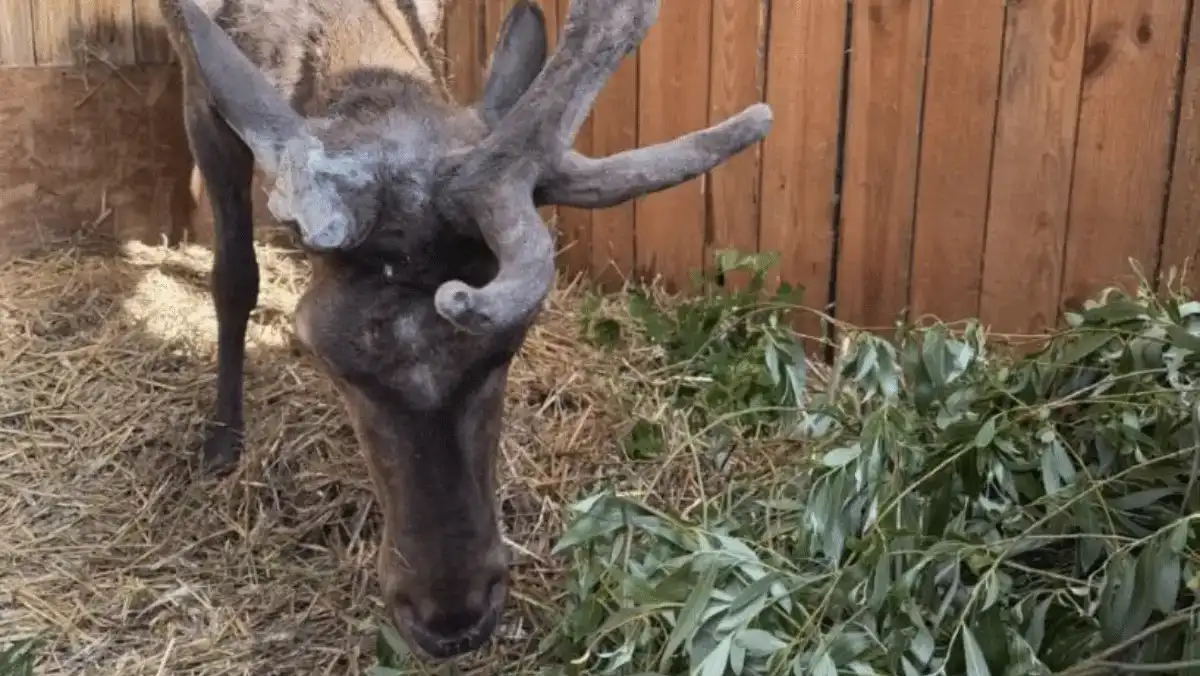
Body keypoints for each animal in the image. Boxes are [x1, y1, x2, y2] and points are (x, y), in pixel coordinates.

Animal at [159, 0, 772, 660]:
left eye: (507, 347)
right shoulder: (199, 90)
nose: (453, 620)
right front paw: (222, 439)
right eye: (329, 358)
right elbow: (234, 274)